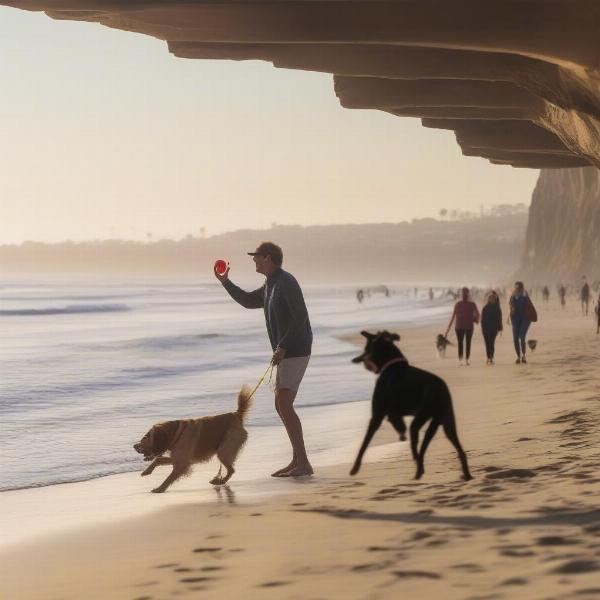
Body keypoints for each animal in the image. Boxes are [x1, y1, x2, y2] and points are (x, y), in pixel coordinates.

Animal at [350, 330, 472, 480]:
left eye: (366, 349)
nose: (355, 359)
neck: (392, 365)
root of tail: (440, 391)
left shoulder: (377, 415)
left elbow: (364, 443)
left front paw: (355, 468)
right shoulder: (393, 411)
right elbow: (395, 420)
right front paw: (400, 430)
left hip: (422, 418)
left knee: (418, 451)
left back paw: (419, 471)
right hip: (447, 421)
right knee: (457, 449)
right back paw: (466, 474)